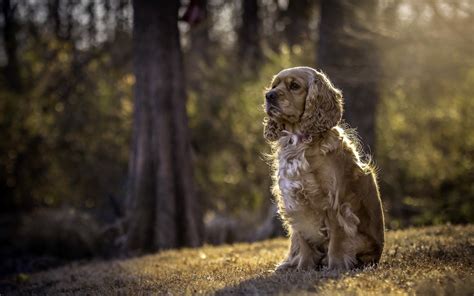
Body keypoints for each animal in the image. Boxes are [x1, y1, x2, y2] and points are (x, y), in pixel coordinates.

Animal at [262, 66, 386, 270]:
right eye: (274, 85)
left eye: (294, 86)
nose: (269, 95)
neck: (299, 140)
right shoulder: (295, 200)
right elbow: (304, 240)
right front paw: (304, 268)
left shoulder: (335, 201)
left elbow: (337, 238)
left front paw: (335, 266)